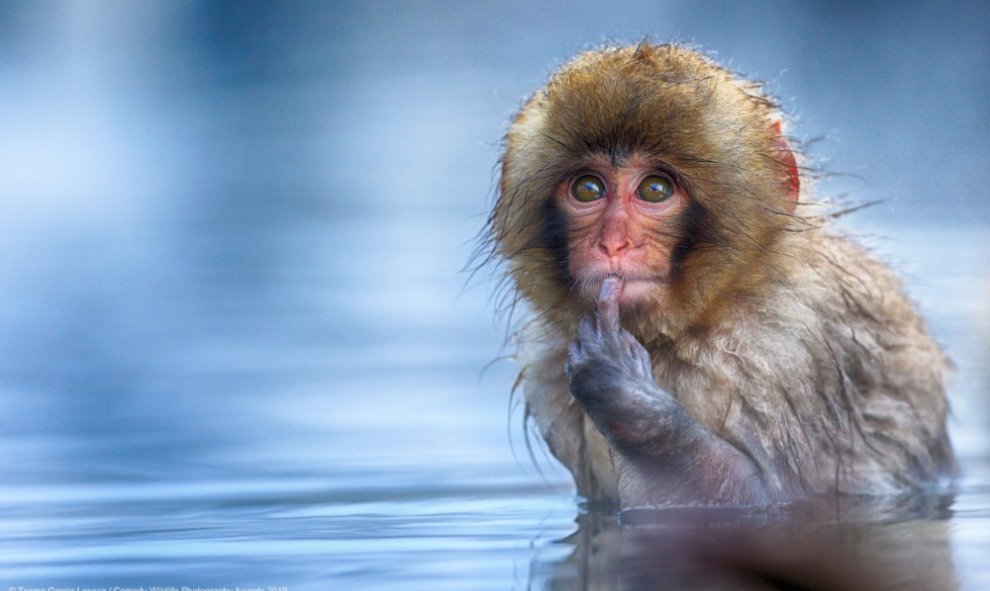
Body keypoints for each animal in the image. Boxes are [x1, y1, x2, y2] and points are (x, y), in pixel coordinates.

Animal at [488, 44, 952, 512]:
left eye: (655, 189)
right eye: (588, 189)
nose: (612, 243)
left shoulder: (782, 346)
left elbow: (769, 497)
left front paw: (625, 395)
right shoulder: (545, 361)